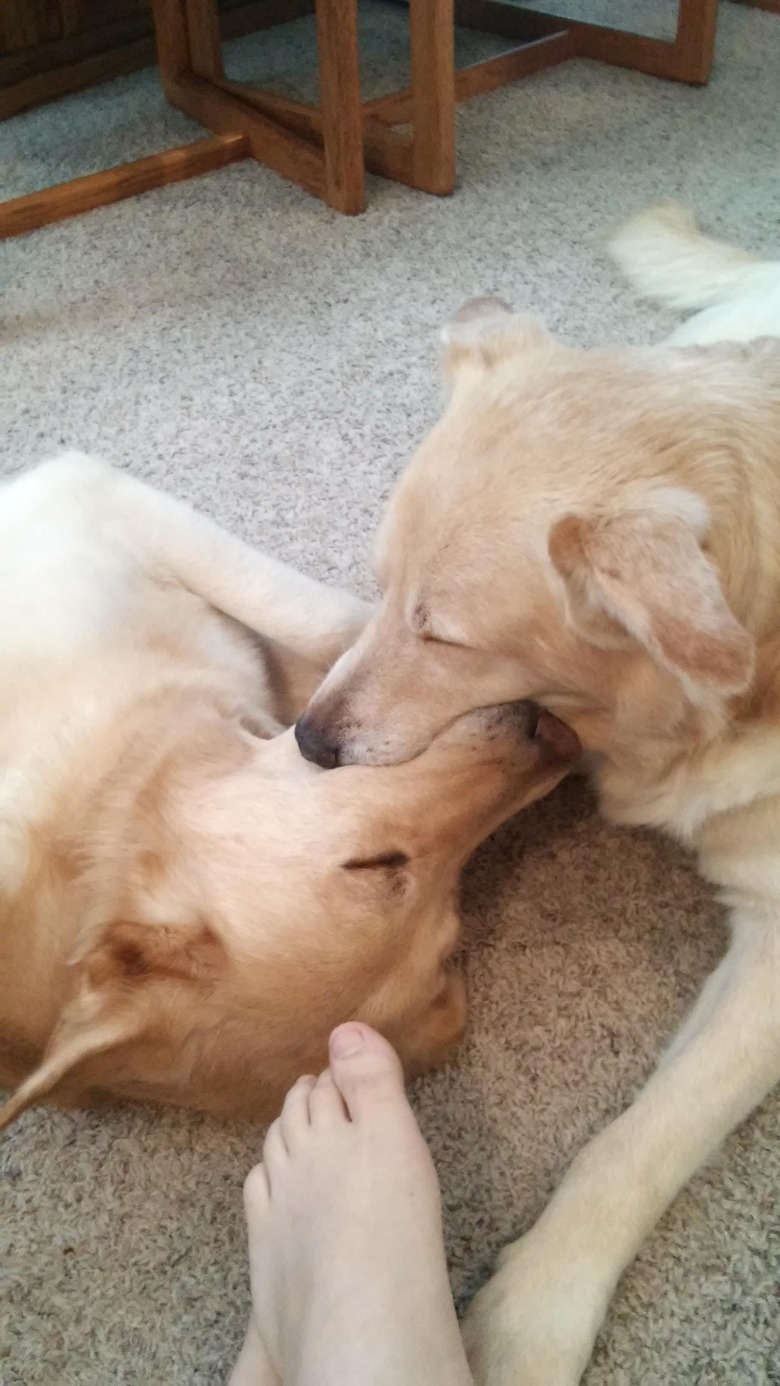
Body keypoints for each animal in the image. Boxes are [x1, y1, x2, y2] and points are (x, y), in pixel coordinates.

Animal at [0, 449, 579, 1130]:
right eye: (380, 866)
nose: (558, 742)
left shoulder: (92, 500)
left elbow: (335, 630)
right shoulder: (89, 496)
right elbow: (342, 634)